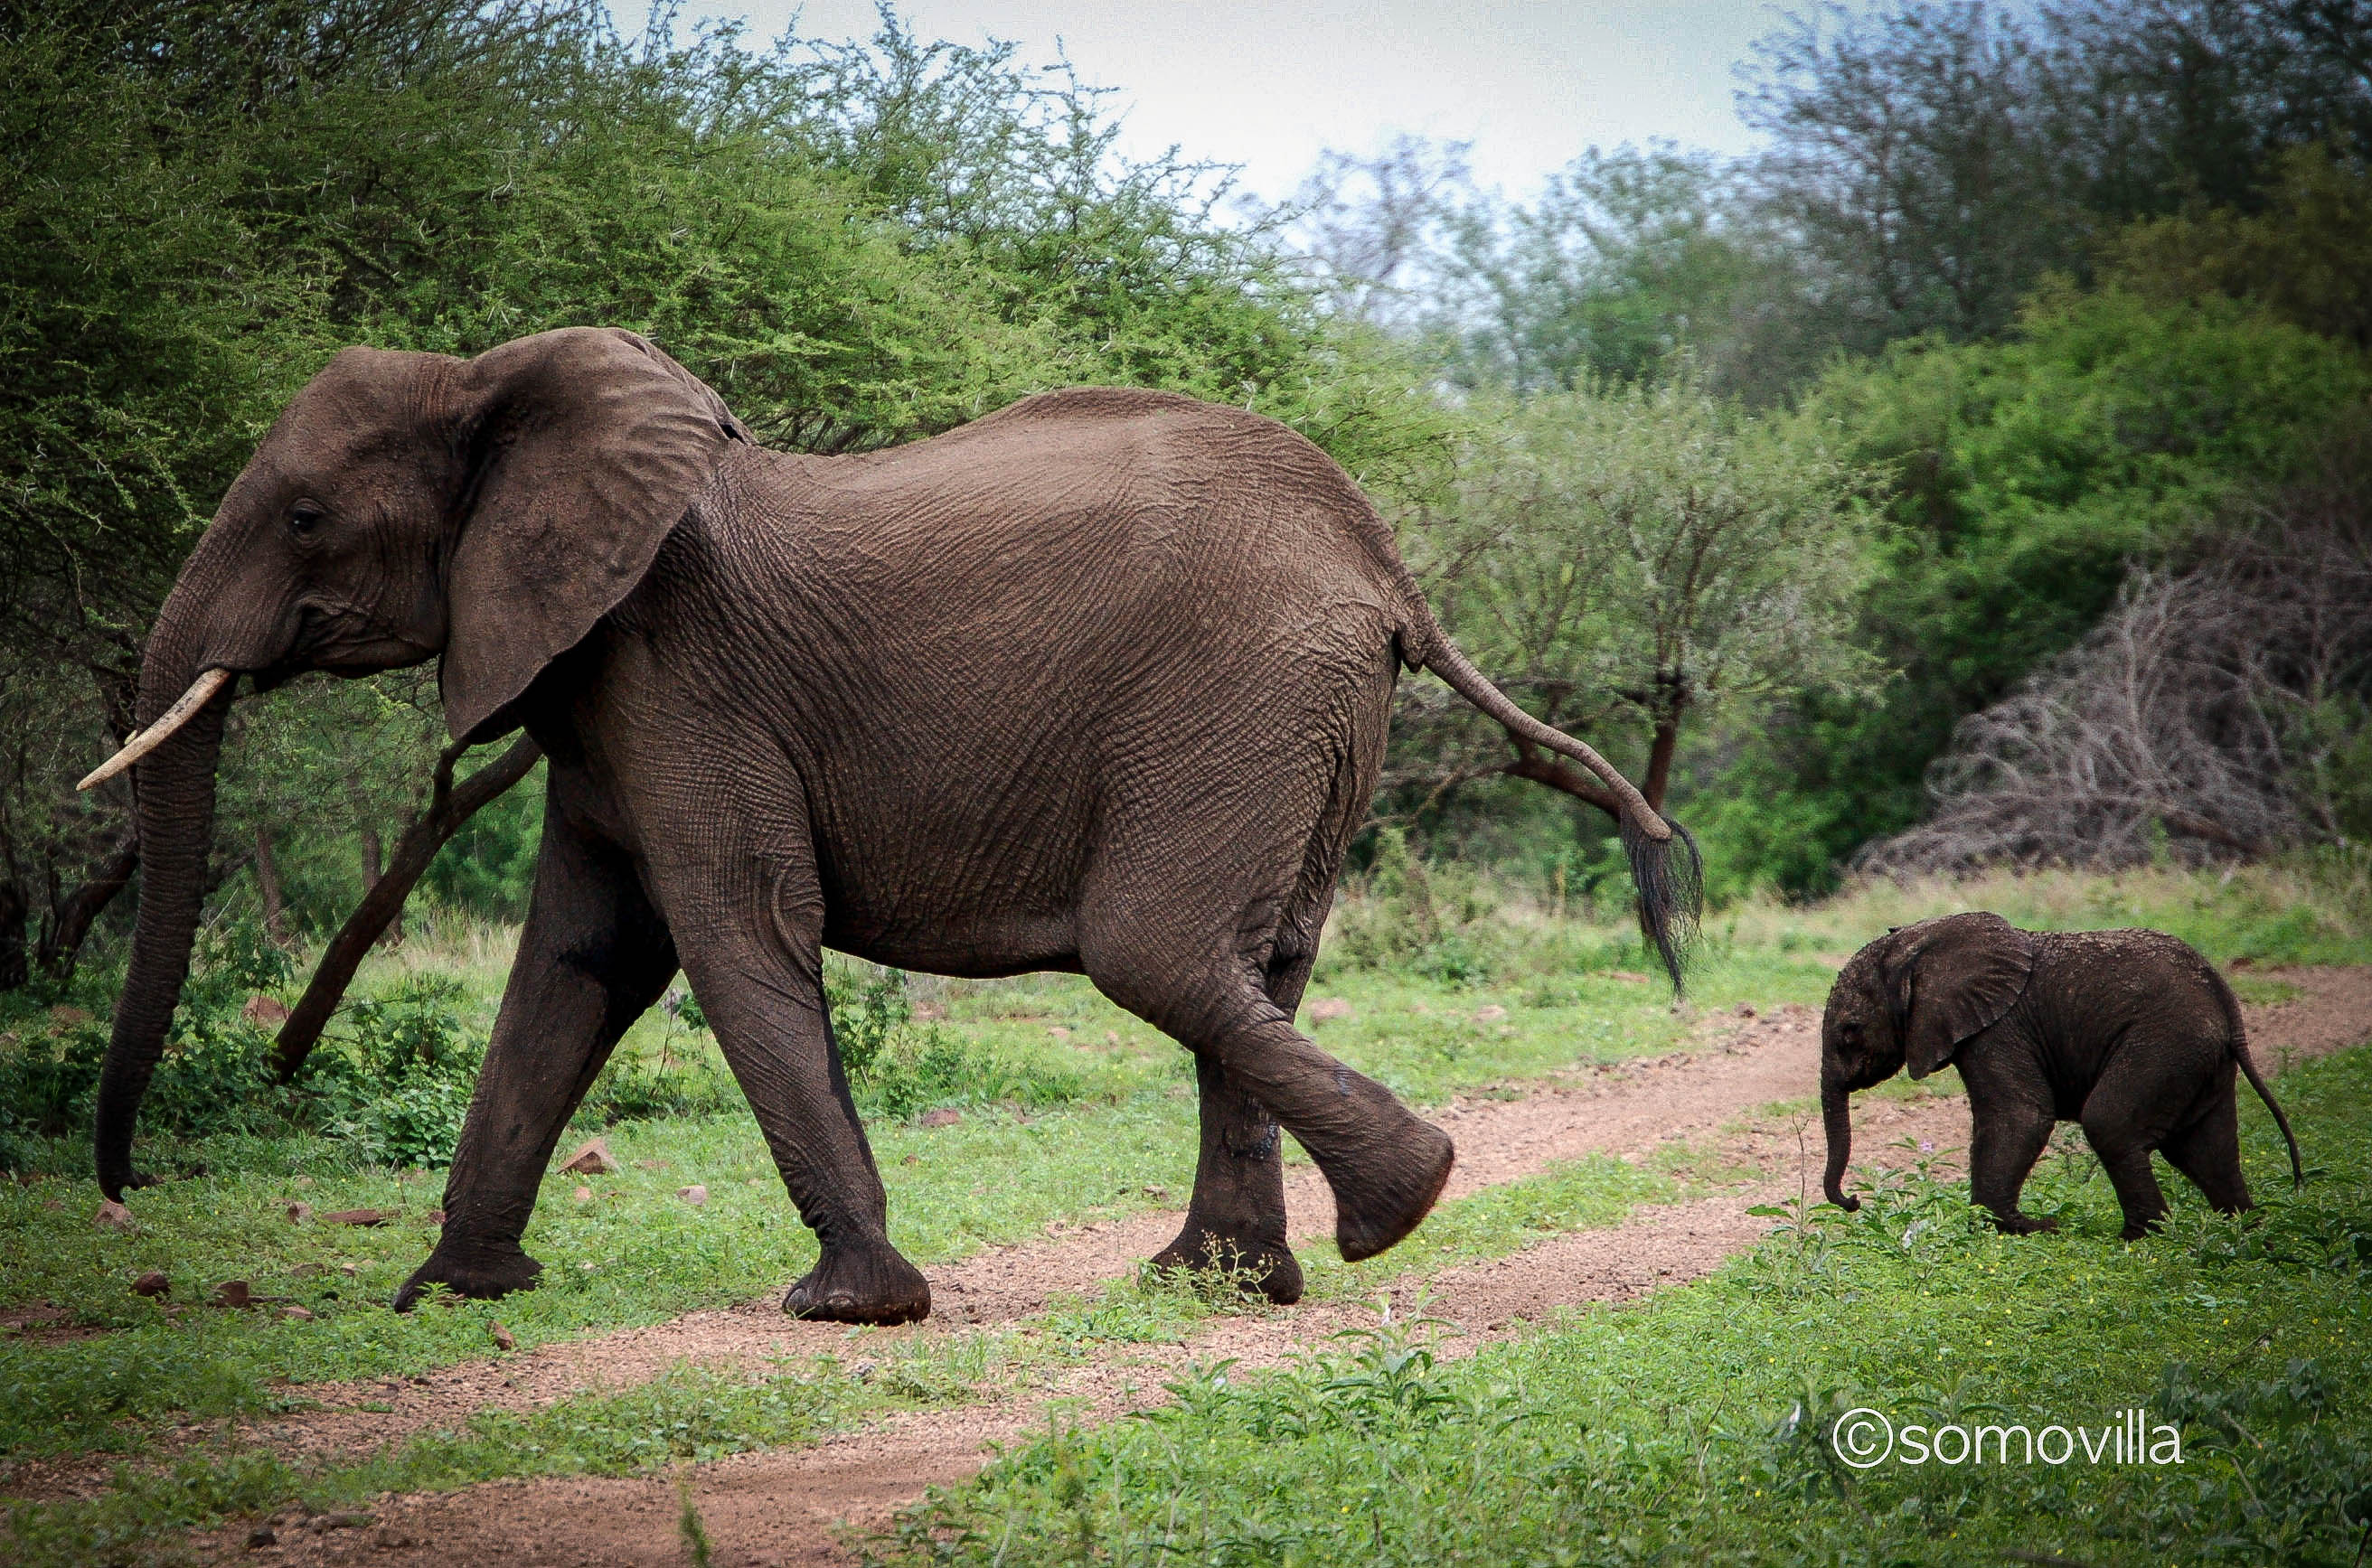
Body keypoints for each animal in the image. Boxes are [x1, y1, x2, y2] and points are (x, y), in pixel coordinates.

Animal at [88, 327, 1689, 1319]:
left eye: (303, 515)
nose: (119, 1191)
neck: (494, 381)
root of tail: (1386, 565)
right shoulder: (599, 689)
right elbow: (579, 961)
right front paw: (448, 1296)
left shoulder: (681, 672)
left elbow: (731, 931)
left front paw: (850, 1304)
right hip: (1301, 722)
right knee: (1255, 967)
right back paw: (1221, 1280)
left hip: (1239, 695)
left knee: (1160, 954)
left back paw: (1401, 1202)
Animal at [1812, 915, 2296, 1233]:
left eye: (1850, 1032)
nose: (1853, 1201)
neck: (1921, 942)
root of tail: (2223, 995)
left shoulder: (2000, 1028)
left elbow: (2019, 1115)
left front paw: (2020, 1227)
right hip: (2198, 1057)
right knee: (2206, 1148)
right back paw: (2243, 1230)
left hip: (2167, 1040)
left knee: (2109, 1123)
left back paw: (2140, 1239)